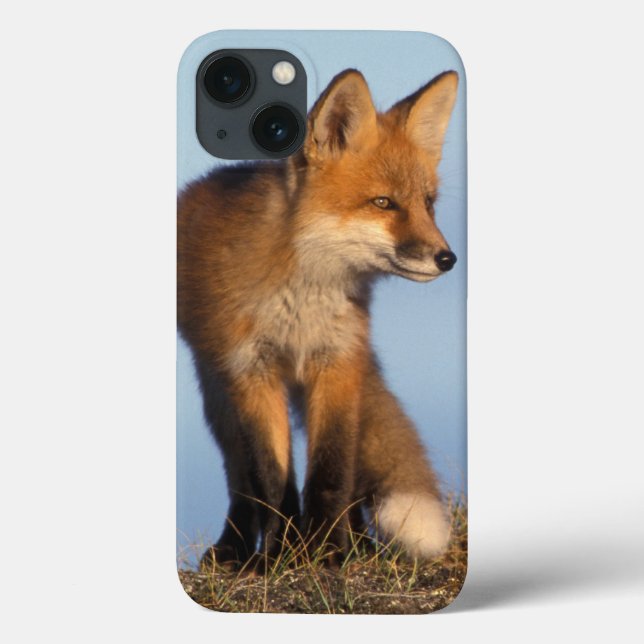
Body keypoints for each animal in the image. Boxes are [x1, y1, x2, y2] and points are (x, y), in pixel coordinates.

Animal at [178, 68, 459, 568]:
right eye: (383, 203)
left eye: (428, 203)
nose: (447, 259)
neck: (301, 302)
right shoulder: (251, 370)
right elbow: (270, 477)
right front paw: (283, 556)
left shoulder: (339, 360)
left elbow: (332, 470)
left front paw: (328, 551)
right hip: (217, 393)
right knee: (239, 478)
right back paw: (236, 549)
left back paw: (358, 543)